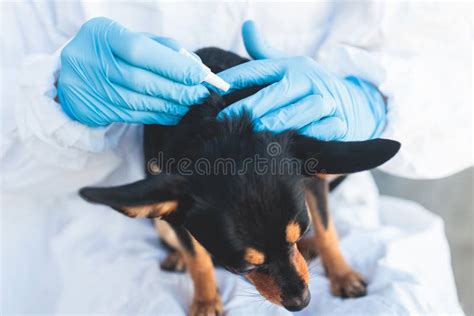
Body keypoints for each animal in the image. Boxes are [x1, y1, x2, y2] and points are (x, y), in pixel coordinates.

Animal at [78, 47, 400, 314]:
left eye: (299, 231)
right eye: (243, 266)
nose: (302, 302)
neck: (222, 128)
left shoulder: (313, 184)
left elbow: (327, 230)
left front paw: (341, 274)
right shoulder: (176, 210)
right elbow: (199, 260)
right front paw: (205, 301)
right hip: (161, 219)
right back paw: (178, 257)